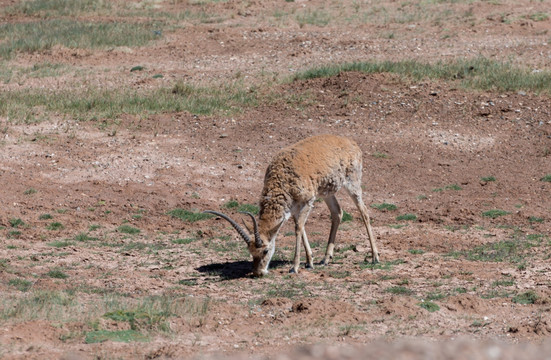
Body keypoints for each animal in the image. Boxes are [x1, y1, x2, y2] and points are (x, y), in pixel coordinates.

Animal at [205, 134, 382, 278]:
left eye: (265, 250)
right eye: (250, 251)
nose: (258, 272)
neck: (283, 178)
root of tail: (352, 143)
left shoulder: (308, 201)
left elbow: (298, 228)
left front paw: (294, 267)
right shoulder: (294, 208)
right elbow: (300, 227)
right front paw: (309, 262)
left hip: (353, 183)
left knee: (364, 212)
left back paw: (375, 257)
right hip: (327, 192)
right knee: (337, 212)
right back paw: (325, 259)